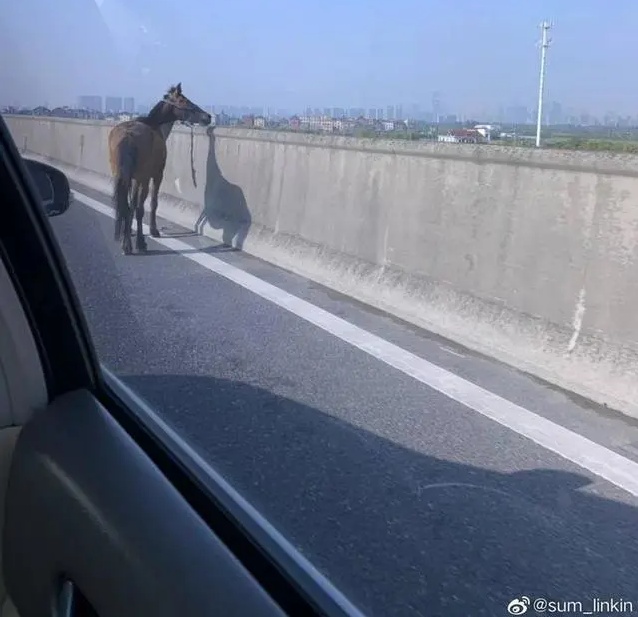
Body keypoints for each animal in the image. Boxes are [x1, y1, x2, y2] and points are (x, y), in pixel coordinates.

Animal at [109, 83, 211, 254]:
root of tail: (128, 136)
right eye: (183, 100)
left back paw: (127, 241)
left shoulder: (133, 179)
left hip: (120, 175)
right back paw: (134, 244)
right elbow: (151, 203)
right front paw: (152, 231)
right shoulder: (156, 175)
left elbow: (131, 205)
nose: (208, 117)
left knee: (125, 205)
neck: (154, 125)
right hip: (142, 177)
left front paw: (128, 233)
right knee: (137, 208)